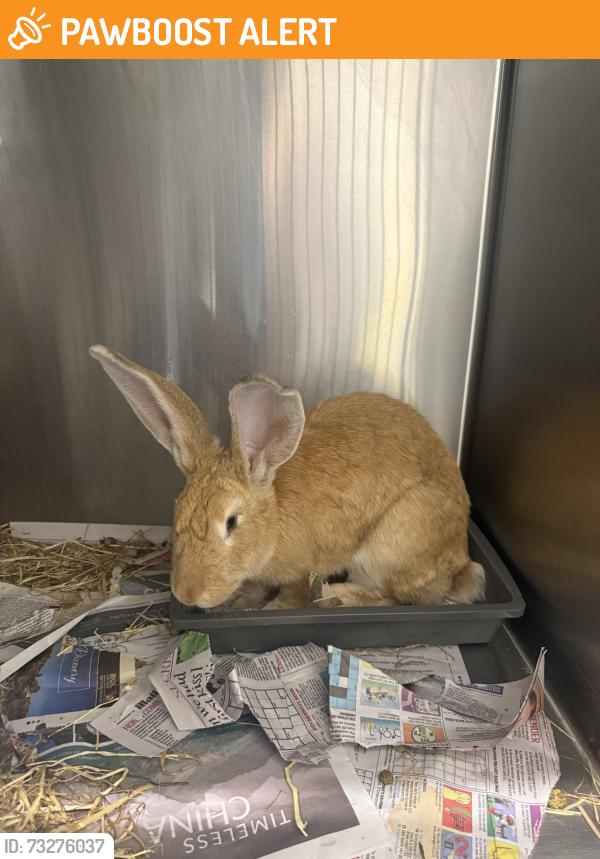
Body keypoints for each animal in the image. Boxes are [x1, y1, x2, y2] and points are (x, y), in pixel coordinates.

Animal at [89, 345, 485, 610]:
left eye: (231, 522)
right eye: (177, 510)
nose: (187, 595)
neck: (273, 517)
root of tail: (459, 561)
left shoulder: (302, 571)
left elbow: (293, 595)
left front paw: (273, 608)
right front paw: (243, 599)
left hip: (391, 544)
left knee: (391, 596)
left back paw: (335, 596)